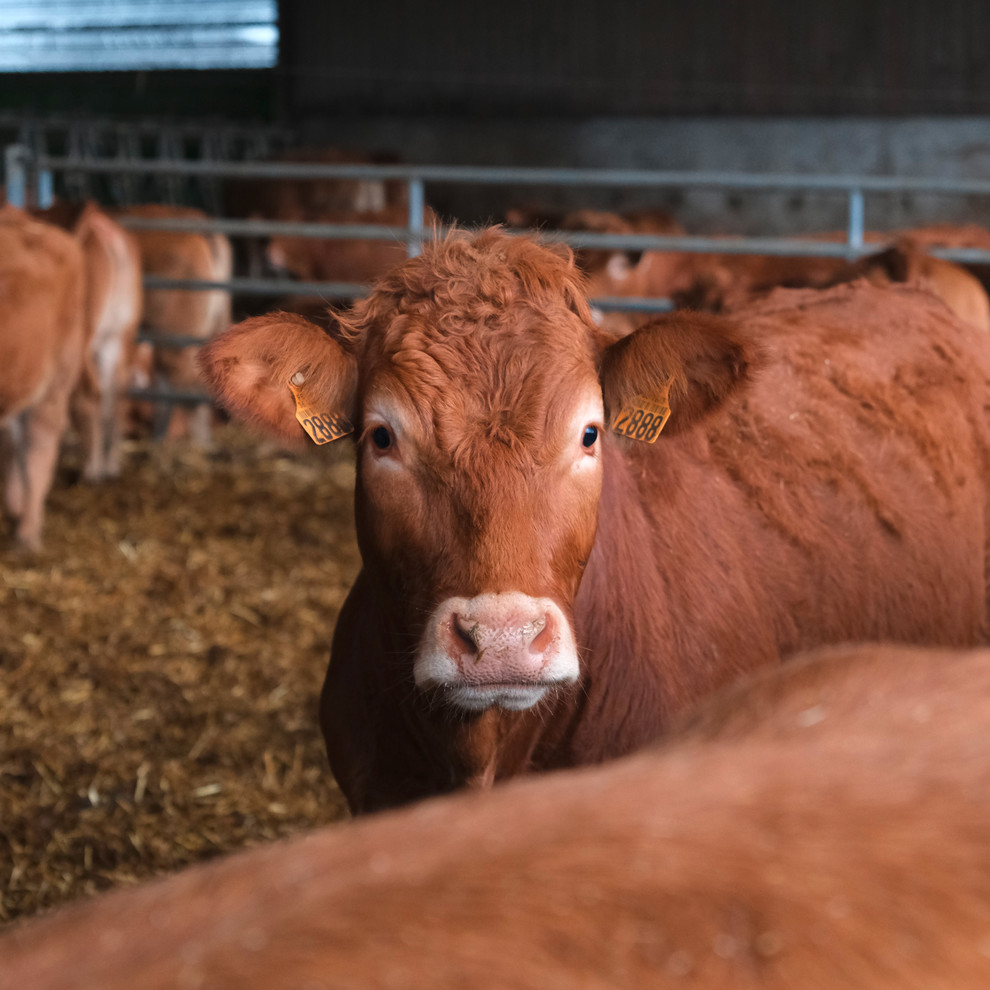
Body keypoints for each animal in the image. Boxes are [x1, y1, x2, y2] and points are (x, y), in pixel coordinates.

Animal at [35, 201, 144, 480]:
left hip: (83, 334)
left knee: (87, 392)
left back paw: (91, 470)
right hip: (118, 333)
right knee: (116, 391)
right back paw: (110, 465)